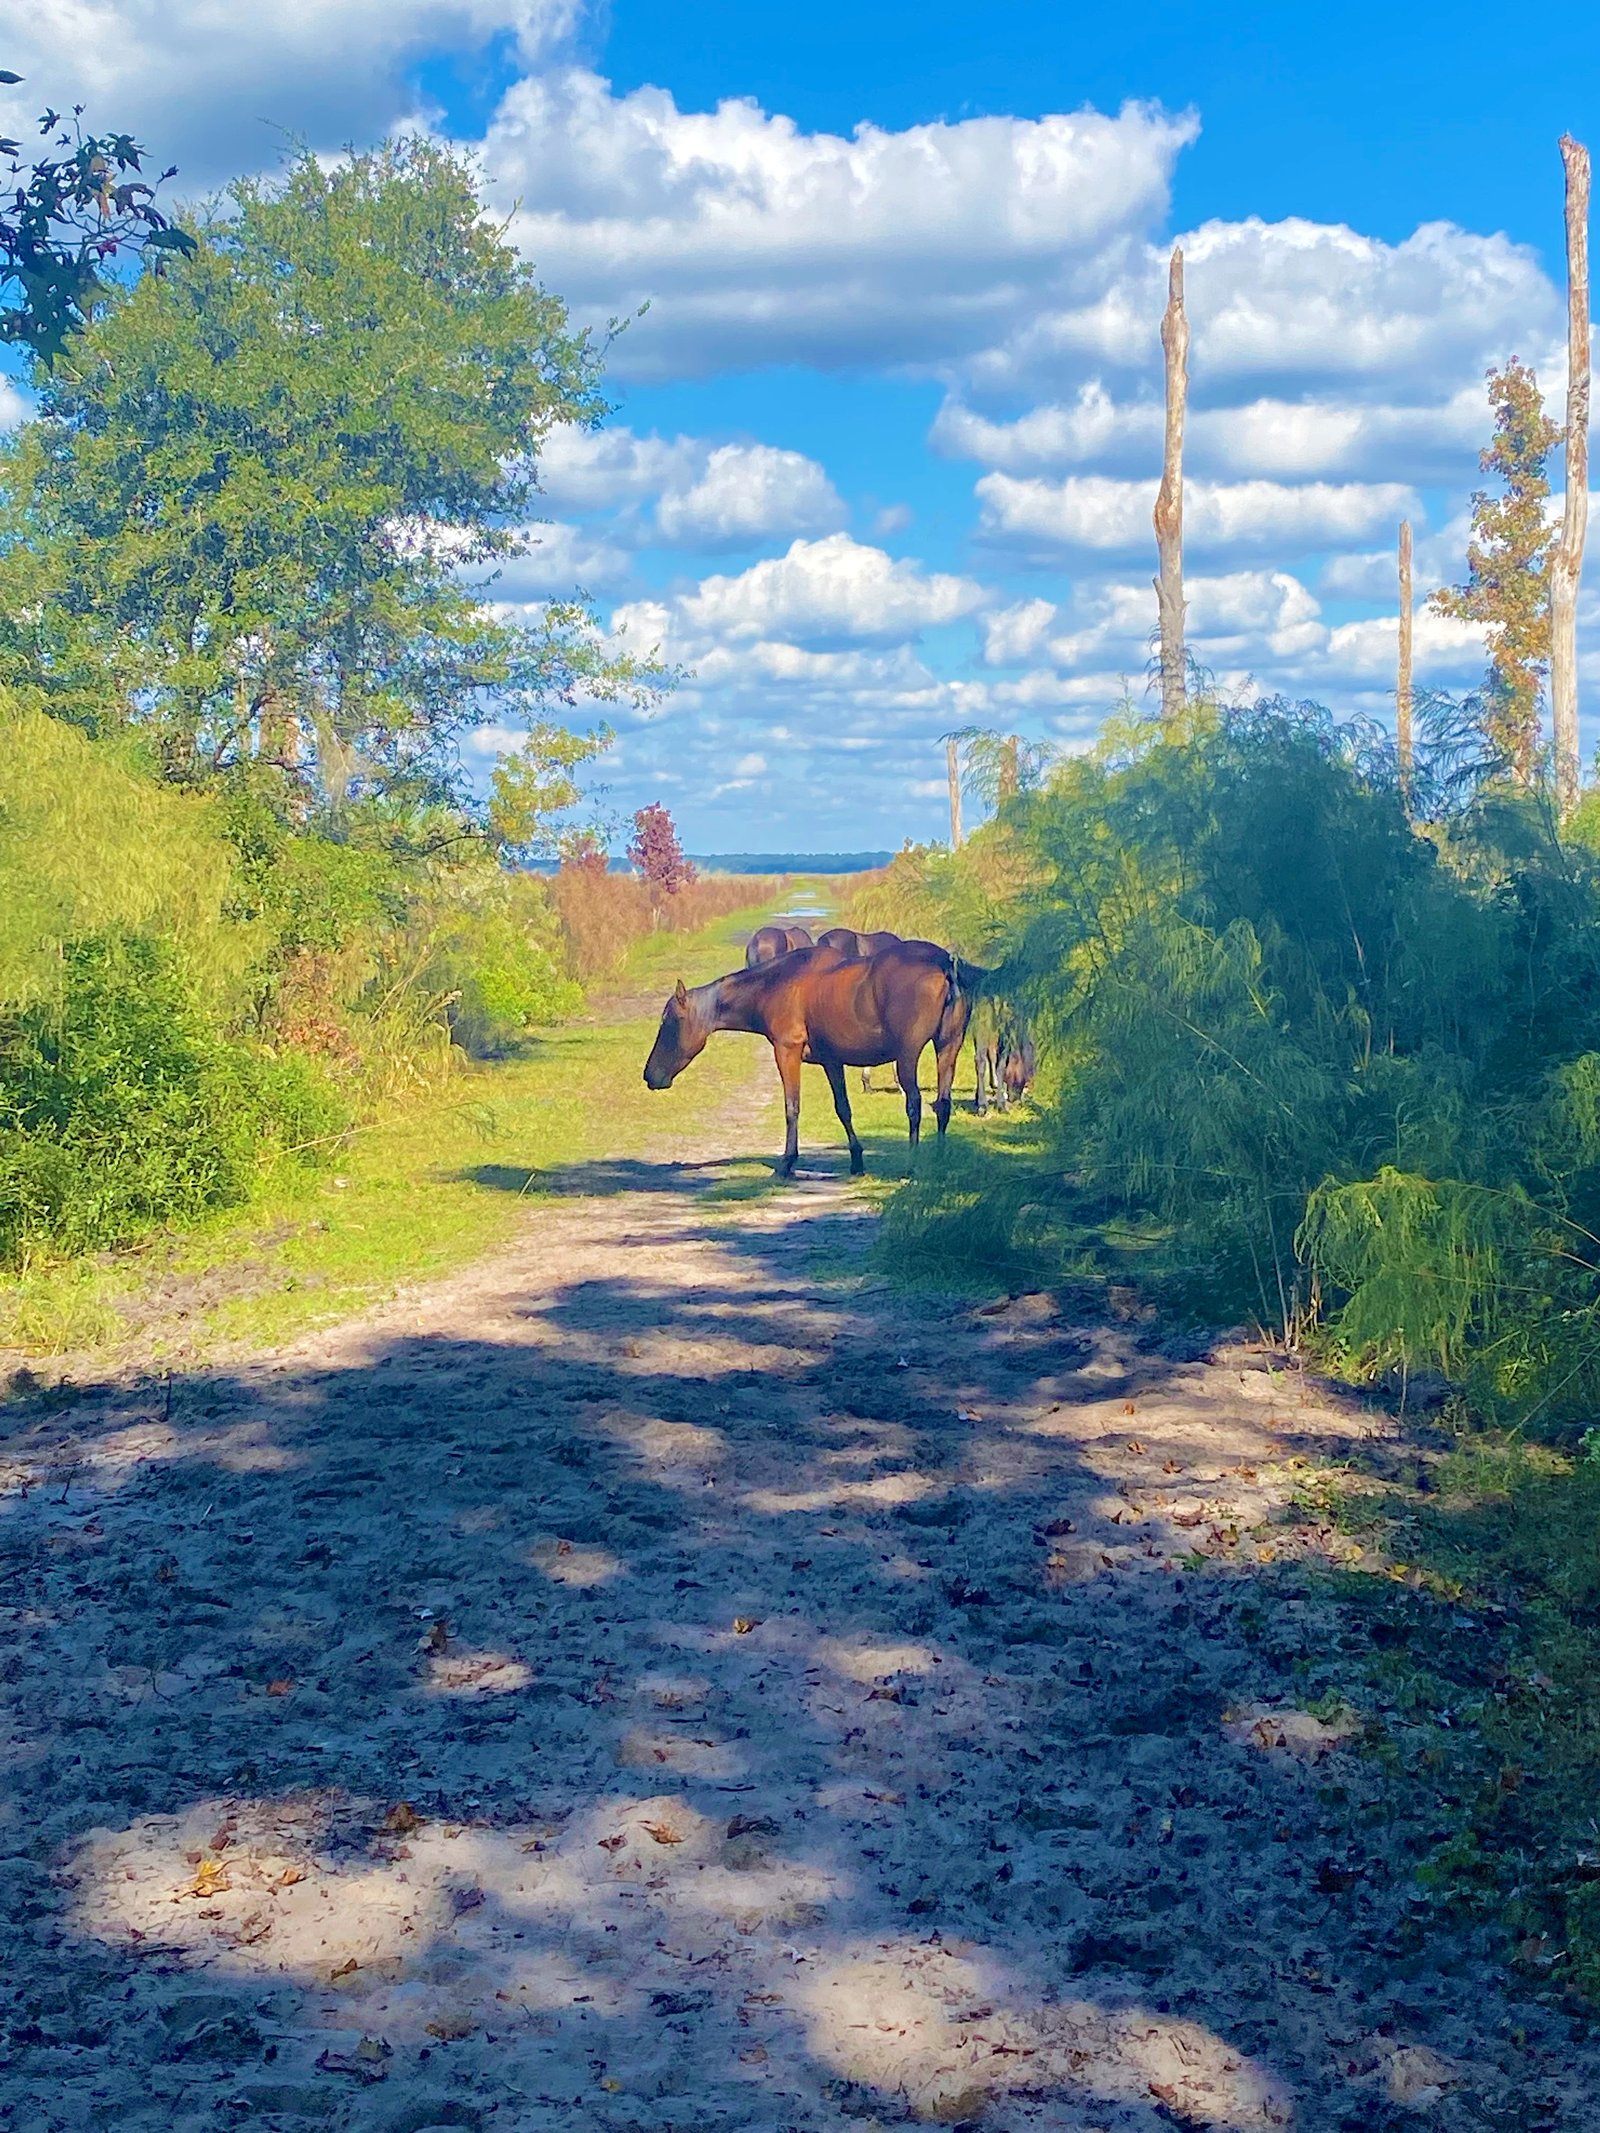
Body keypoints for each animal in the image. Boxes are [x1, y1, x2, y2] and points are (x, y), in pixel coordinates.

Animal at [643, 940, 977, 1176]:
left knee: (915, 1104)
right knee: (943, 1104)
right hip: (948, 1047)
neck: (779, 982)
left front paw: (787, 1163)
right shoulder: (832, 1060)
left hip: (908, 1056)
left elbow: (792, 1107)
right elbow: (843, 1109)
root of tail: (945, 964)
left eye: (669, 1023)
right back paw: (939, 1159)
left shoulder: (786, 1051)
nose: (650, 1075)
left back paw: (913, 1165)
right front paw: (856, 1161)